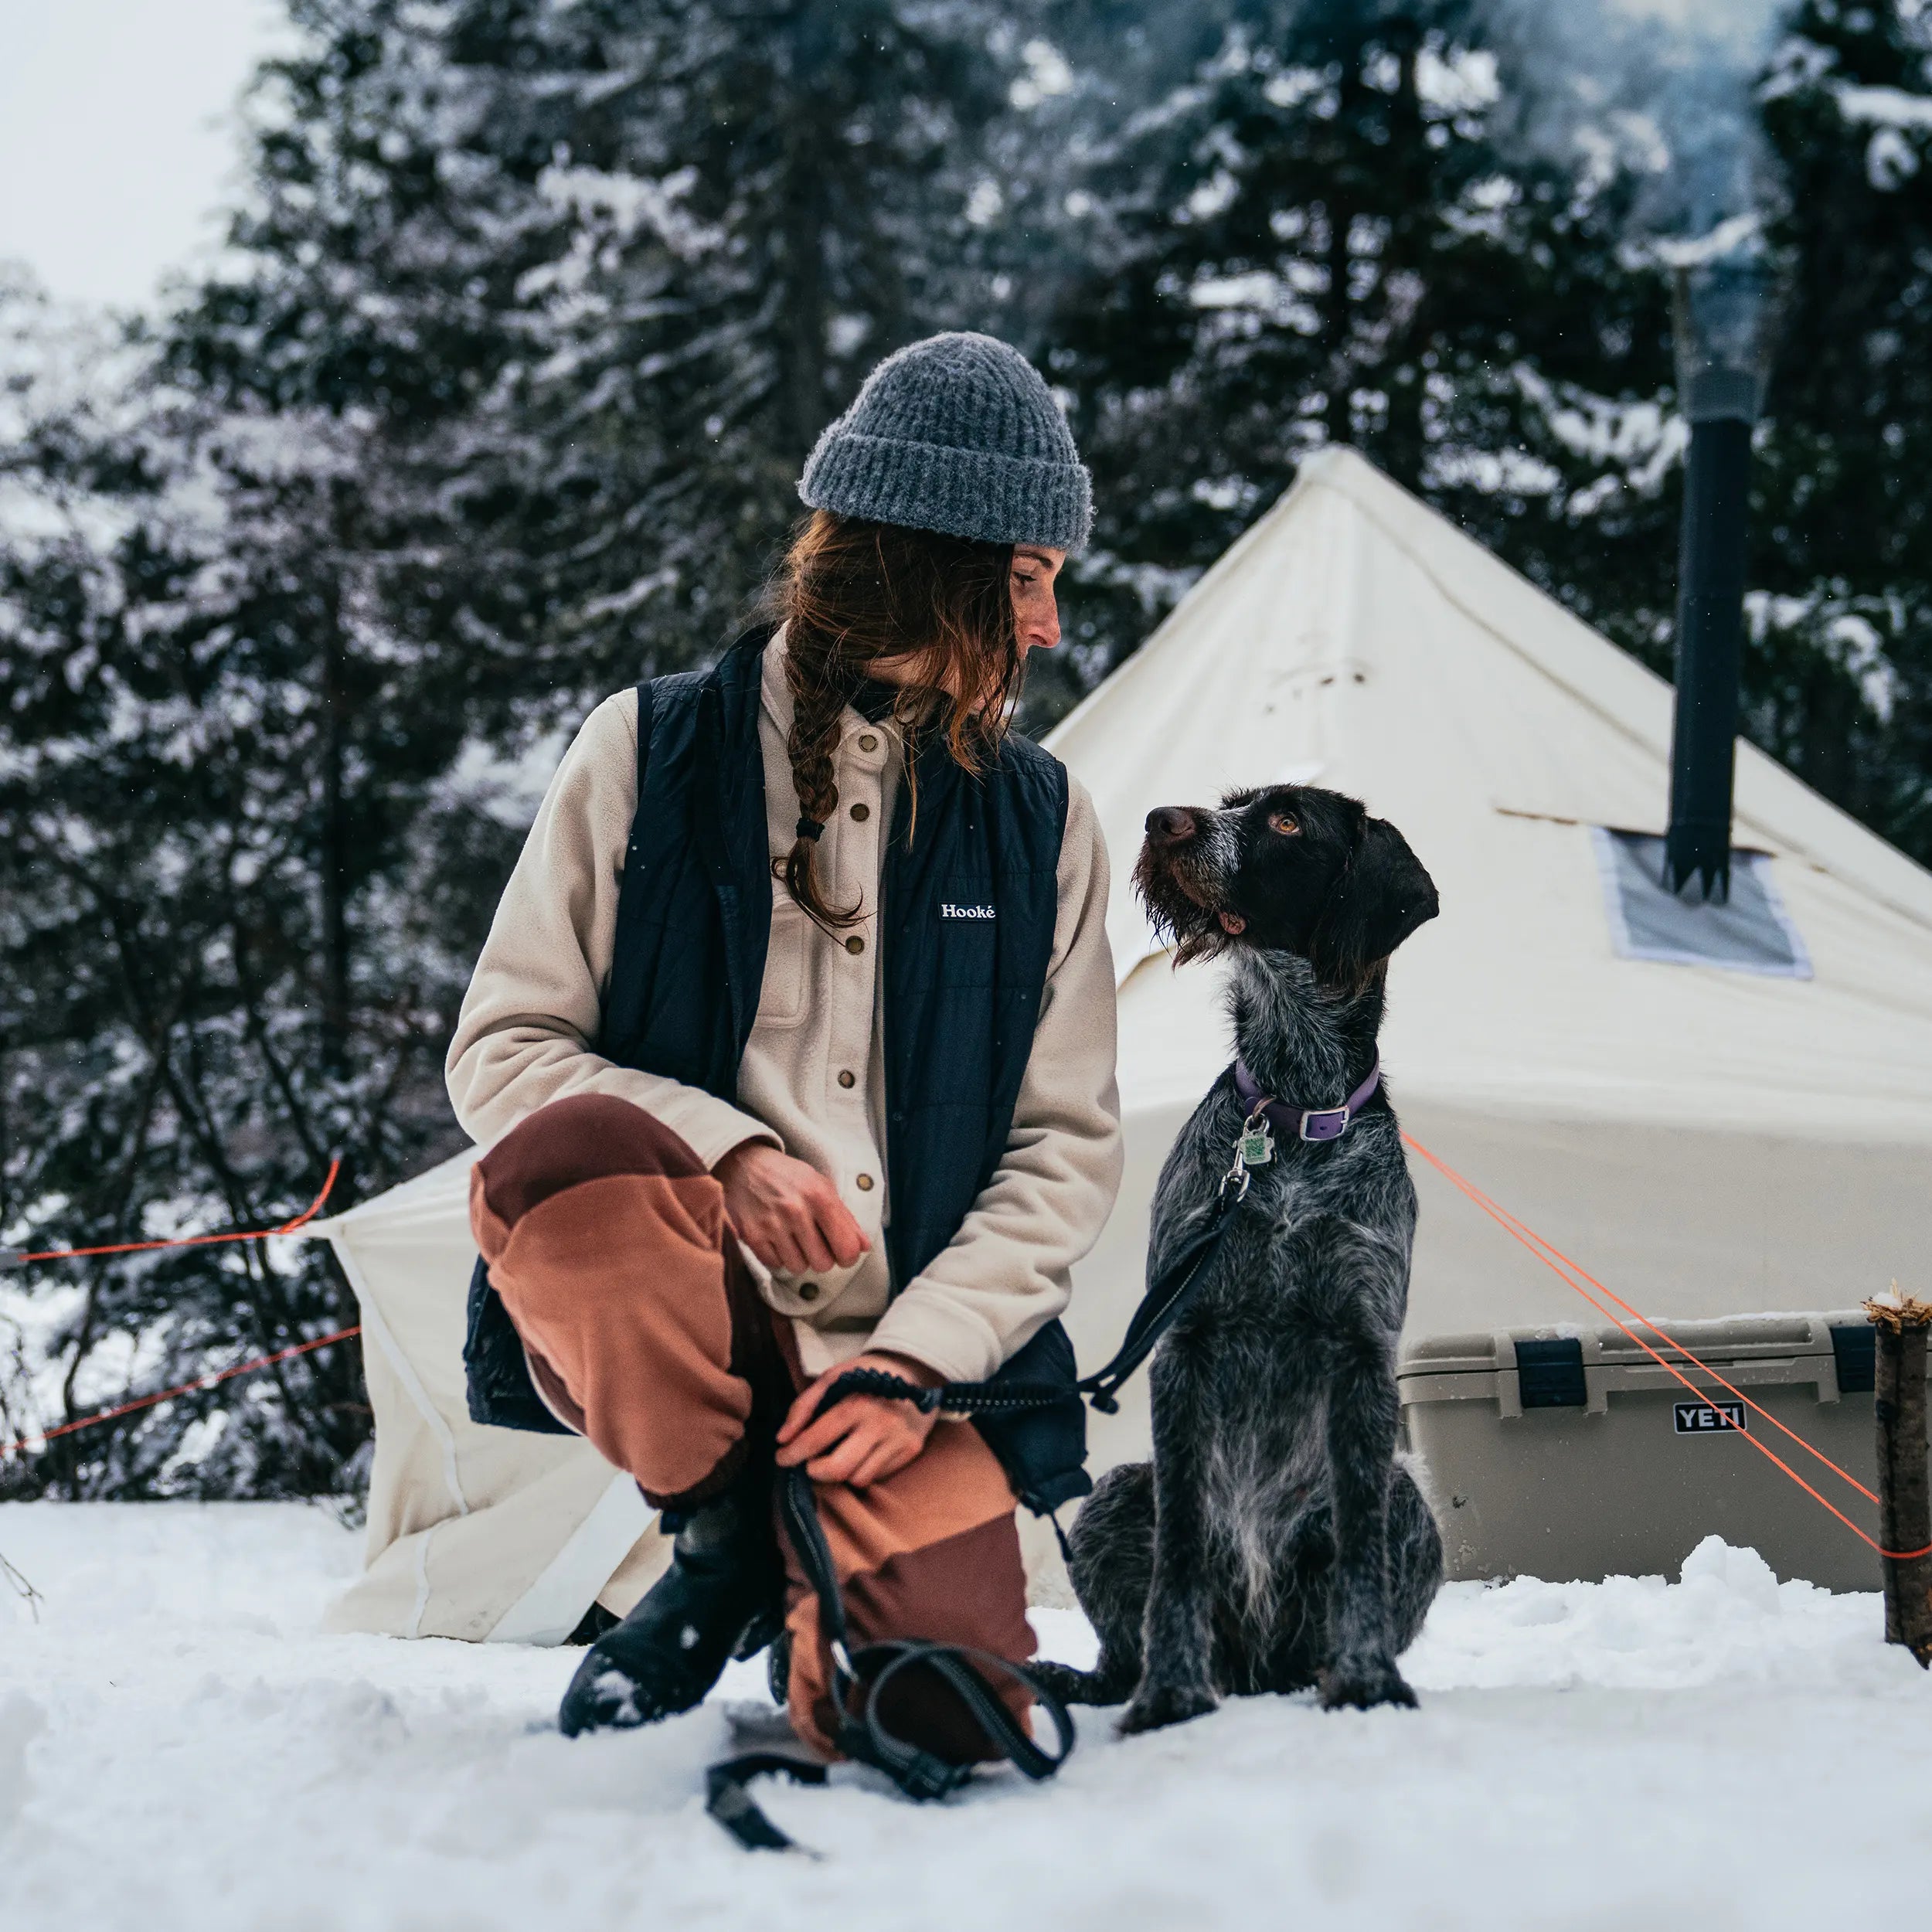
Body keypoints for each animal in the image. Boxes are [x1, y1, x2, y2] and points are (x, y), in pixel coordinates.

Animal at [1036, 784, 1445, 1739]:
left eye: (1289, 821)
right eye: (1231, 803)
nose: (1161, 820)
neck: (1291, 1113)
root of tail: (1256, 1662)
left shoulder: (1364, 1346)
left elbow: (1362, 1552)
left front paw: (1367, 1680)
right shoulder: (1186, 1339)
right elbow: (1182, 1548)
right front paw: (1172, 1694)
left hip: (1413, 1506)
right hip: (1114, 1490)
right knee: (1120, 1650)